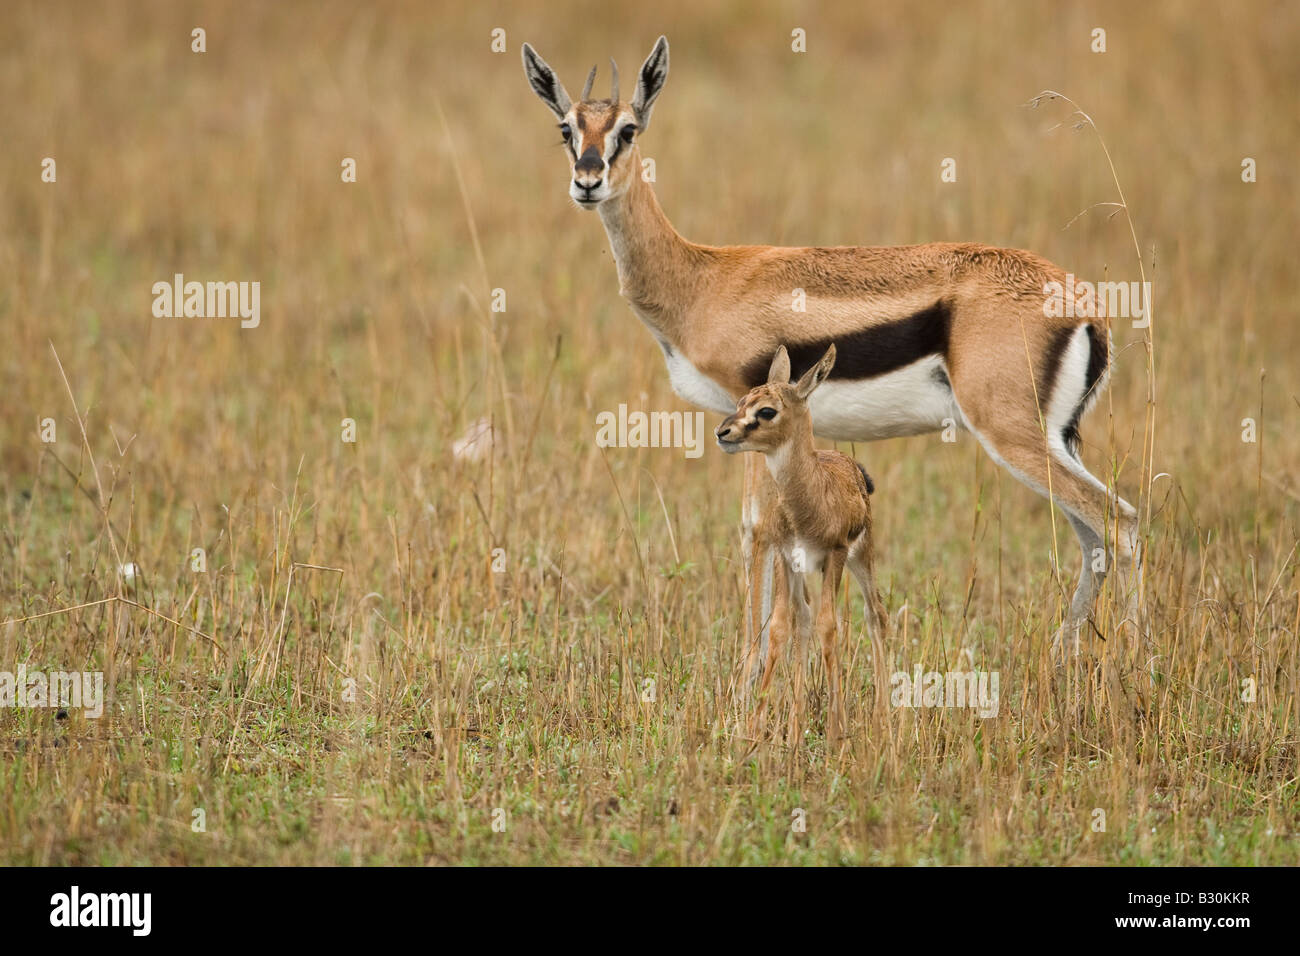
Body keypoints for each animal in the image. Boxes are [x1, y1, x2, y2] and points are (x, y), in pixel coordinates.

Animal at [521, 36, 1140, 679]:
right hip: (1055, 440)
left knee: (1119, 521)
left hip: (1012, 434)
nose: (587, 180)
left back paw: (1137, 668)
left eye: (628, 129)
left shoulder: (746, 417)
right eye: (567, 128)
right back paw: (1063, 661)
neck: (701, 279)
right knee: (1093, 535)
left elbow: (754, 528)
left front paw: (748, 674)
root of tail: (1086, 306)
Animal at [716, 344, 888, 740]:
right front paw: (756, 727)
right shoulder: (784, 556)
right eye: (742, 400)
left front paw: (838, 730)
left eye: (767, 410)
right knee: (804, 618)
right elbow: (781, 627)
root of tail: (854, 468)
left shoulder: (834, 556)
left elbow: (830, 626)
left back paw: (885, 721)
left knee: (876, 615)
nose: (723, 432)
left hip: (861, 557)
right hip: (799, 572)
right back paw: (795, 728)